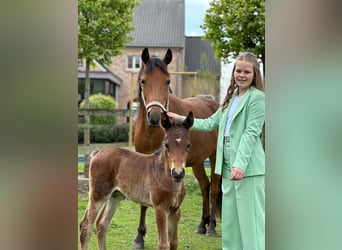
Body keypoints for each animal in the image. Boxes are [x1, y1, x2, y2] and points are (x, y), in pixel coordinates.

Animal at [79, 112, 194, 250]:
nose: (178, 173)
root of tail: (99, 152)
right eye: (166, 145)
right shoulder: (160, 208)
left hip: (115, 196)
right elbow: (163, 244)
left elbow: (174, 242)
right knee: (86, 226)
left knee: (102, 224)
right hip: (98, 195)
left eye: (188, 145)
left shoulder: (176, 210)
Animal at [131, 48, 222, 248]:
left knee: (214, 187)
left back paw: (211, 226)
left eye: (168, 81)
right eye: (143, 81)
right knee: (204, 185)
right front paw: (139, 237)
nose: (155, 117)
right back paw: (202, 224)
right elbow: (143, 201)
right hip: (197, 161)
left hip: (215, 157)